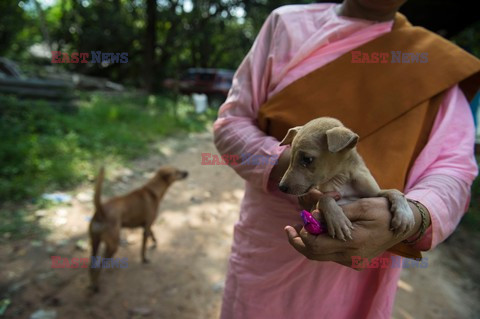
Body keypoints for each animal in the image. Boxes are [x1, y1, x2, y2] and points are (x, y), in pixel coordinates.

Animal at [280, 117, 414, 242]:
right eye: (291, 158)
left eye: (307, 159)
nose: (281, 187)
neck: (341, 179)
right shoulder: (318, 205)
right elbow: (324, 198)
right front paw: (338, 221)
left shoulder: (373, 194)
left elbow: (394, 191)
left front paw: (404, 215)